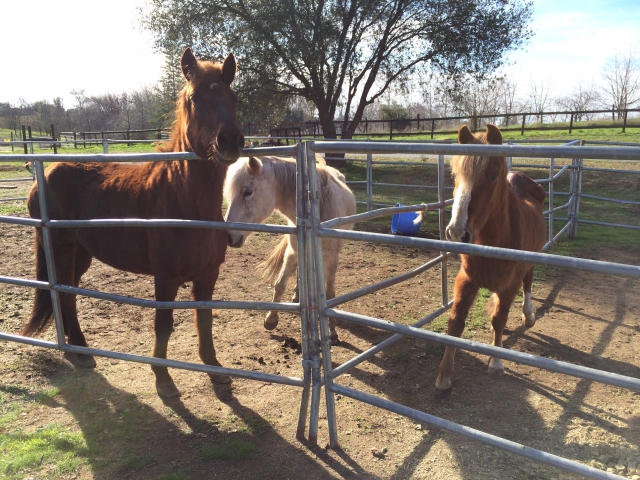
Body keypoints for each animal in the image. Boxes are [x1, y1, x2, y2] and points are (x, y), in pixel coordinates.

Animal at [22, 48, 245, 398]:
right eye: (194, 98)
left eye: (233, 97)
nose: (231, 141)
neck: (184, 199)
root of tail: (44, 173)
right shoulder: (165, 278)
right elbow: (163, 324)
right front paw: (163, 379)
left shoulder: (208, 276)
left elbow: (204, 320)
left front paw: (215, 370)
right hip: (60, 248)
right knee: (64, 294)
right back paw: (79, 351)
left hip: (80, 253)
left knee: (68, 291)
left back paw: (77, 347)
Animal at [224, 155, 356, 344]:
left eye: (247, 192)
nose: (229, 237)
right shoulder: (293, 251)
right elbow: (279, 285)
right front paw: (271, 319)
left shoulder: (332, 257)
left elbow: (329, 293)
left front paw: (332, 332)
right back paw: (297, 295)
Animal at [434, 124, 546, 399]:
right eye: (455, 176)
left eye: (493, 177)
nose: (457, 232)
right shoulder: (466, 280)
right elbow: (456, 322)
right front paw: (444, 377)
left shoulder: (509, 285)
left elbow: (499, 318)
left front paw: (496, 362)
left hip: (530, 264)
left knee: (528, 283)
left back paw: (528, 315)